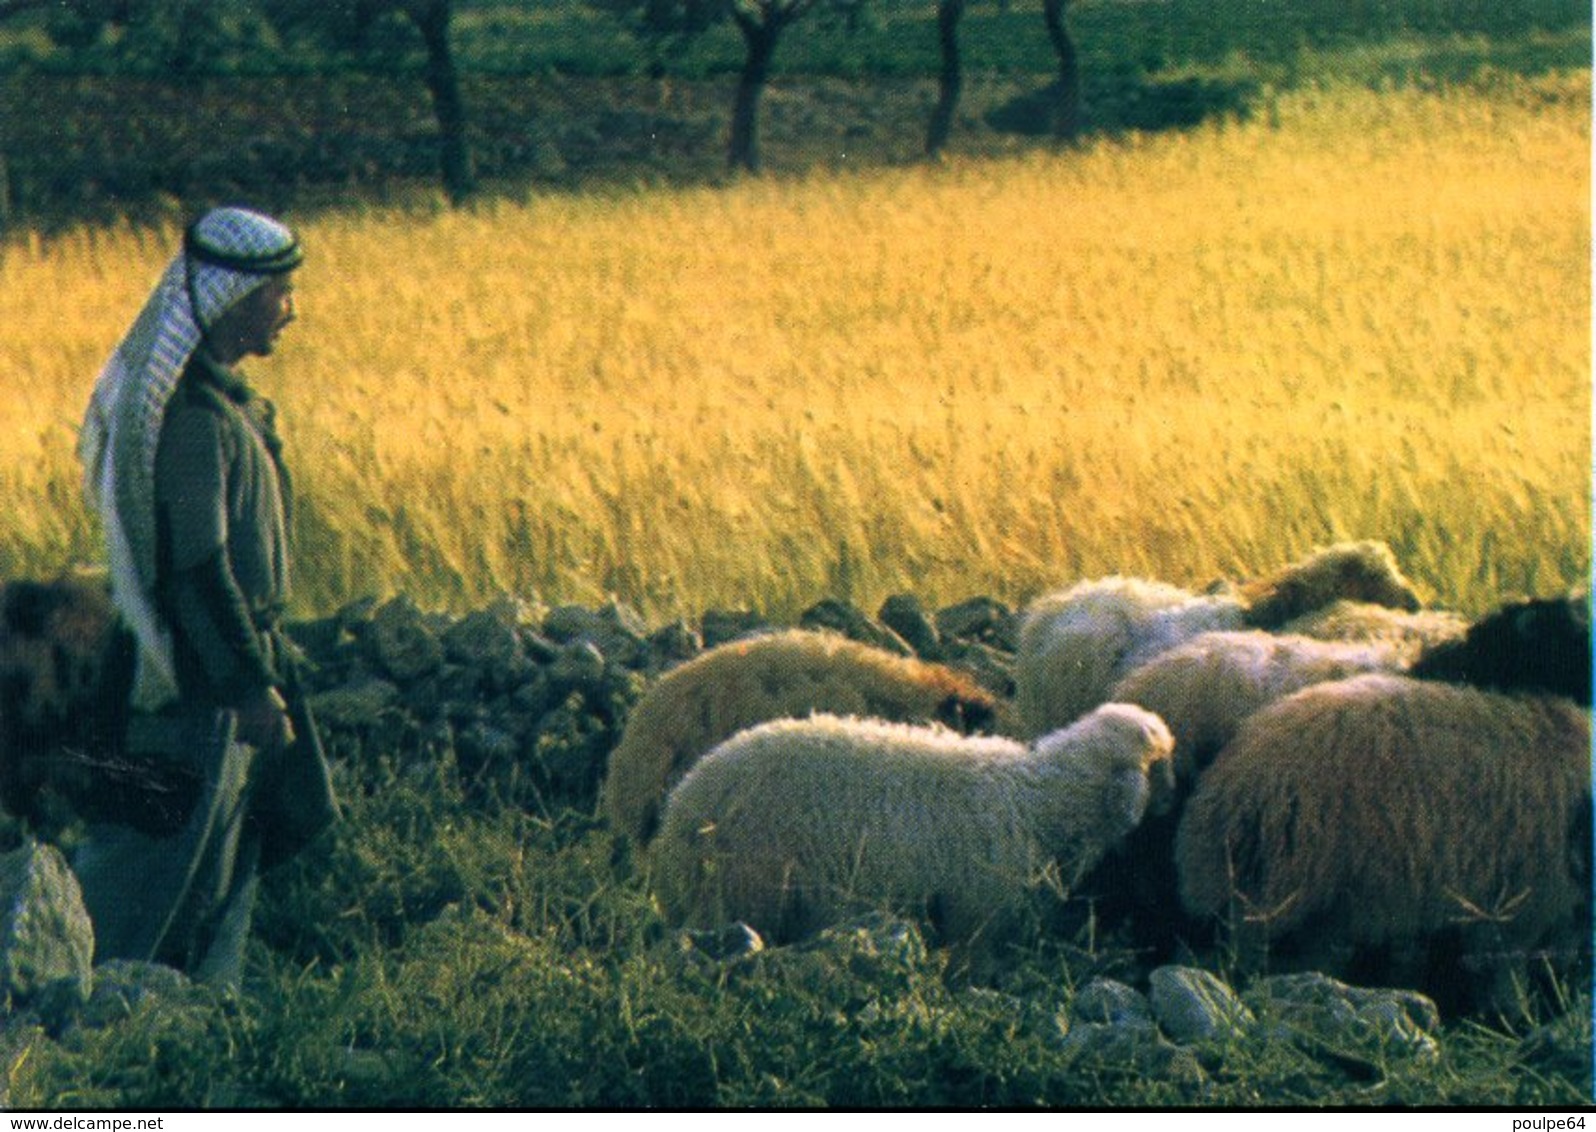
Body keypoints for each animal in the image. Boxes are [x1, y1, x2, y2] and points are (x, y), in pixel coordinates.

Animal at [647, 702, 1174, 957]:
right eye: (1158, 763)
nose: (1172, 802)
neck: (1039, 798)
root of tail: (682, 807)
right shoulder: (975, 914)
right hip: (744, 889)